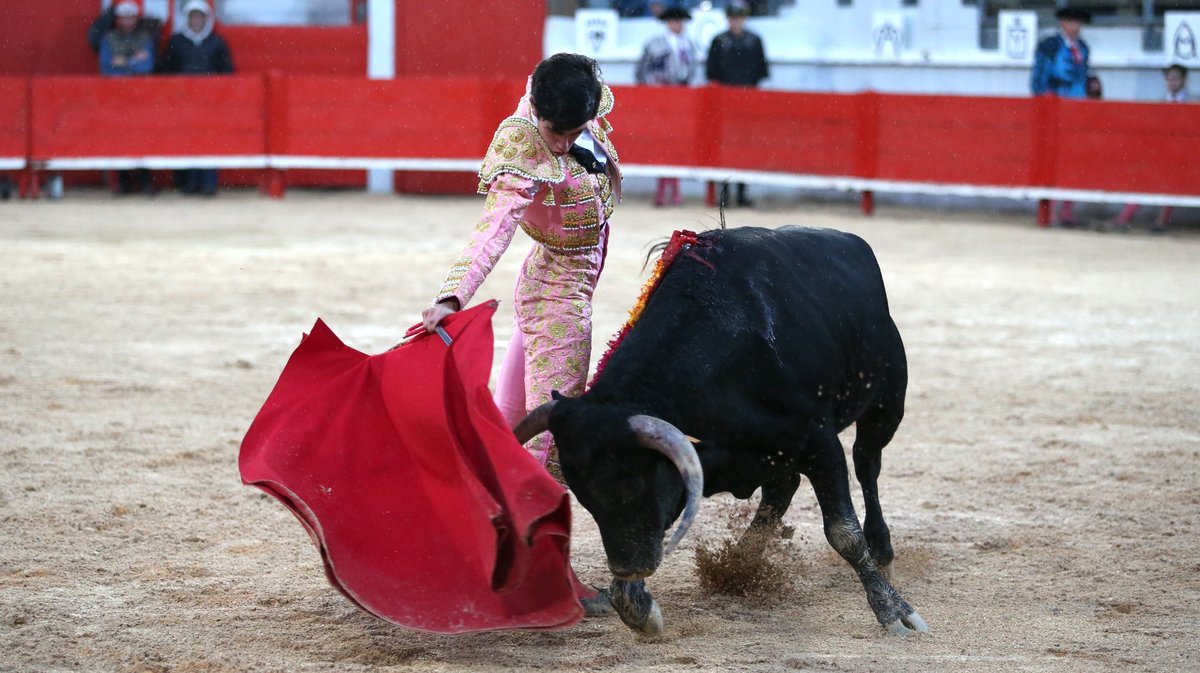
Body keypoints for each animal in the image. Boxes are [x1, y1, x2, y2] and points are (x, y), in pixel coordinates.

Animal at [516, 224, 926, 633]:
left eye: (634, 485)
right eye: (584, 496)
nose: (630, 569)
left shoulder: (819, 443)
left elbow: (844, 533)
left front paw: (895, 611)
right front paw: (635, 603)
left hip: (885, 405)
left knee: (866, 466)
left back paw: (882, 551)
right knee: (782, 489)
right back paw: (742, 561)